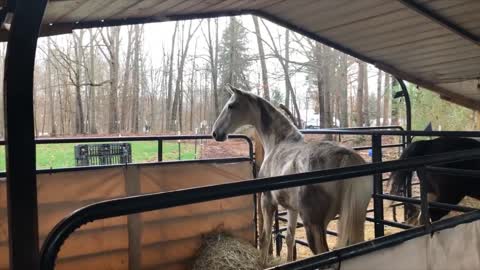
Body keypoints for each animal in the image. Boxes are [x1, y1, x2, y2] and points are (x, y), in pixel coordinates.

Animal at [212, 87, 374, 264]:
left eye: (231, 105)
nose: (216, 133)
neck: (279, 142)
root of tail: (346, 156)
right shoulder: (292, 209)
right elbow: (290, 238)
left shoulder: (267, 201)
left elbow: (265, 238)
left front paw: (263, 263)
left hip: (314, 224)